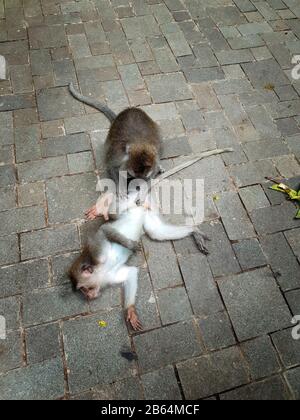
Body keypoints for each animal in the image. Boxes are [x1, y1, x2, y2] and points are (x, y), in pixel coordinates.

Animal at [68, 190, 209, 332]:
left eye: (84, 289)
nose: (87, 296)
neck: (101, 271)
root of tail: (136, 207)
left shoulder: (97, 254)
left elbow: (104, 229)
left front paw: (130, 245)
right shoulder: (109, 276)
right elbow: (131, 272)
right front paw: (131, 311)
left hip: (126, 209)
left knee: (114, 212)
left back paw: (107, 202)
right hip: (147, 215)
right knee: (156, 232)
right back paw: (193, 230)